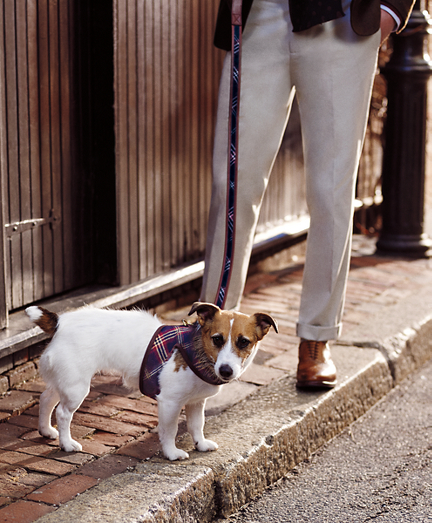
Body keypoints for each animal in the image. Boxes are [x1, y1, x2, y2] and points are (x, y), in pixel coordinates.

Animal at [26, 300, 276, 460]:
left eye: (243, 342)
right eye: (217, 339)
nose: (226, 370)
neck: (196, 351)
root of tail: (60, 322)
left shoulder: (196, 402)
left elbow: (197, 425)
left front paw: (200, 444)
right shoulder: (170, 403)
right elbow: (170, 430)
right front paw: (171, 453)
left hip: (65, 380)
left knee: (46, 398)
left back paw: (46, 430)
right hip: (76, 387)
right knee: (63, 413)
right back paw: (67, 443)